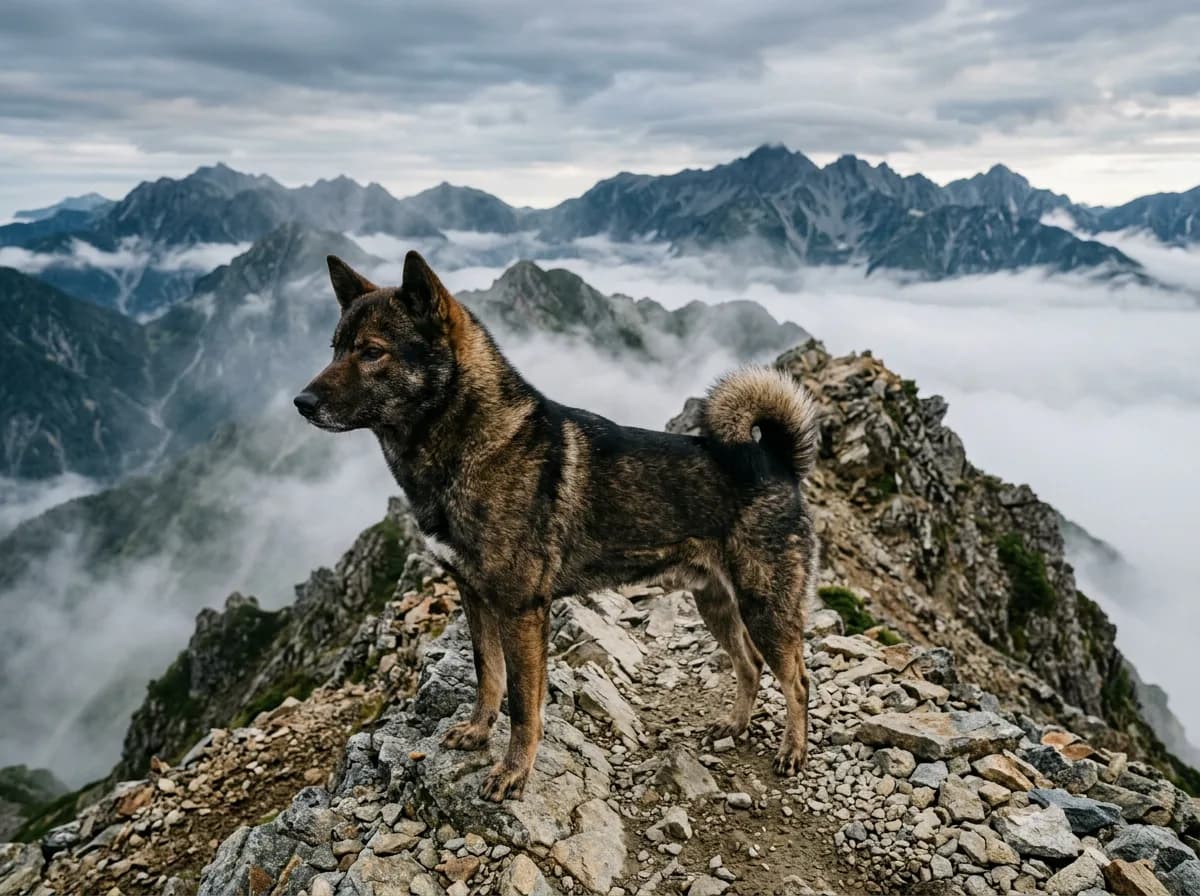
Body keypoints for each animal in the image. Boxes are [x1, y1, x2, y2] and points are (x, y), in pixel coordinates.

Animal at [295, 251, 821, 801]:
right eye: (335, 348)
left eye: (372, 351)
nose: (301, 403)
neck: (468, 445)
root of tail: (775, 459)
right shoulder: (474, 597)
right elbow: (487, 674)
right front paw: (478, 730)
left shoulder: (522, 609)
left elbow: (524, 703)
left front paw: (513, 771)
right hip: (716, 603)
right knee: (750, 664)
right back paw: (734, 724)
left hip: (765, 607)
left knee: (797, 680)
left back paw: (793, 750)